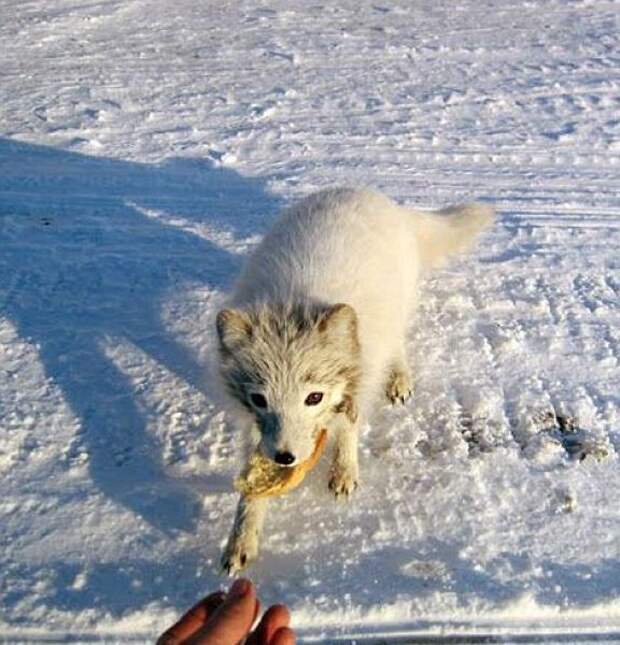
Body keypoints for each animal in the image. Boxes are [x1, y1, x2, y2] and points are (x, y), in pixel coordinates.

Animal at [217, 186, 494, 572]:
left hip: (397, 310)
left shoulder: (362, 378)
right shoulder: (253, 426)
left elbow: (349, 426)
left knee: (398, 343)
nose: (285, 458)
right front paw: (241, 539)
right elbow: (250, 488)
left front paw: (344, 471)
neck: (294, 305)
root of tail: (371, 195)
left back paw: (399, 379)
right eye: (259, 399)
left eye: (313, 397)